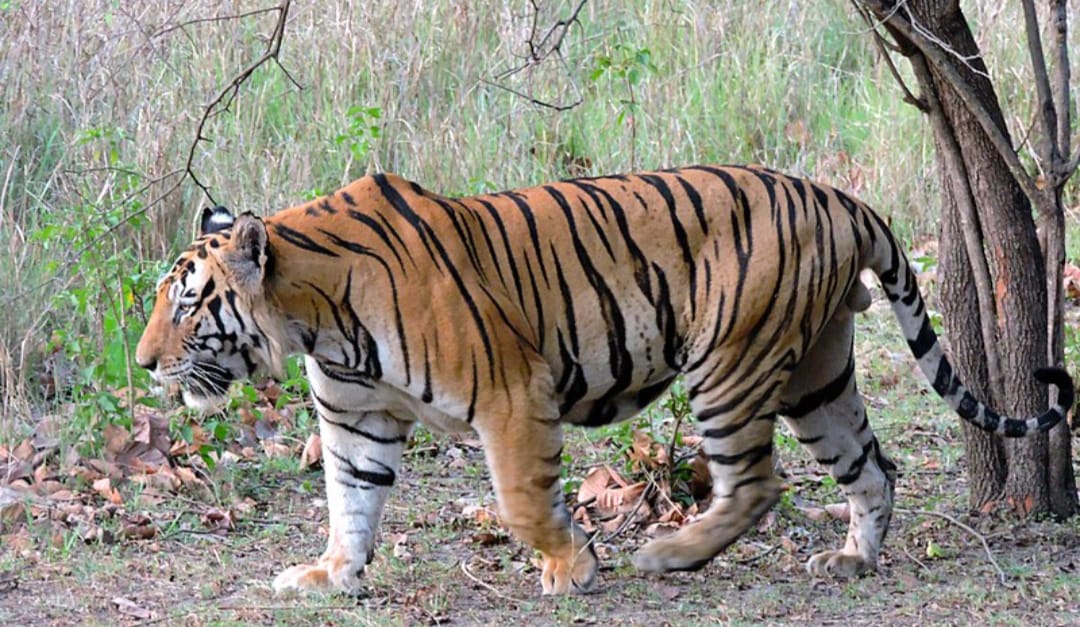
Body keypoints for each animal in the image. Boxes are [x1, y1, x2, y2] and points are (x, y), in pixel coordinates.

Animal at [135, 165, 1074, 595]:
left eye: (185, 302)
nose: (142, 364)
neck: (315, 318)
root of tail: (841, 197)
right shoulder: (357, 419)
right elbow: (350, 500)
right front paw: (330, 573)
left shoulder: (512, 394)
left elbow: (520, 500)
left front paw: (574, 566)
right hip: (819, 373)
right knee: (874, 466)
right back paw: (851, 558)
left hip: (729, 363)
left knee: (757, 481)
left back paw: (672, 551)